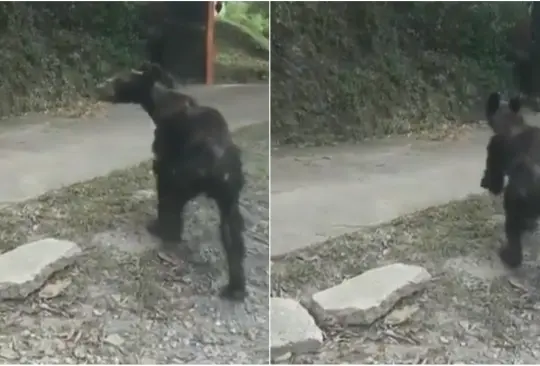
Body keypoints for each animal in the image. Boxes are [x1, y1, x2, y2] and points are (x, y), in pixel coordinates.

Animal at [96, 63, 247, 302]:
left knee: (171, 199)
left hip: (184, 175)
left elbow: (162, 179)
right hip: (229, 190)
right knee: (232, 230)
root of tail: (215, 160)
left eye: (119, 79)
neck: (160, 99)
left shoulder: (166, 154)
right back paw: (236, 287)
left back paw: (164, 230)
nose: (98, 87)